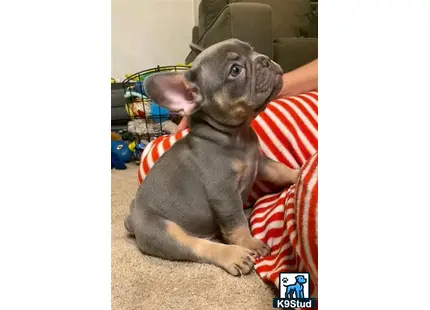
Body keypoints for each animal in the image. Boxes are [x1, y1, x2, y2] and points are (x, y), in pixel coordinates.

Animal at [124, 38, 298, 276]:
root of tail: (133, 219)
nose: (264, 60)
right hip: (164, 231)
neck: (237, 136)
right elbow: (237, 222)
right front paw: (249, 243)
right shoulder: (223, 193)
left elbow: (280, 170)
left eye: (252, 49)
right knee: (197, 247)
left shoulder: (260, 162)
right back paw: (234, 256)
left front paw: (300, 172)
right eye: (235, 70)